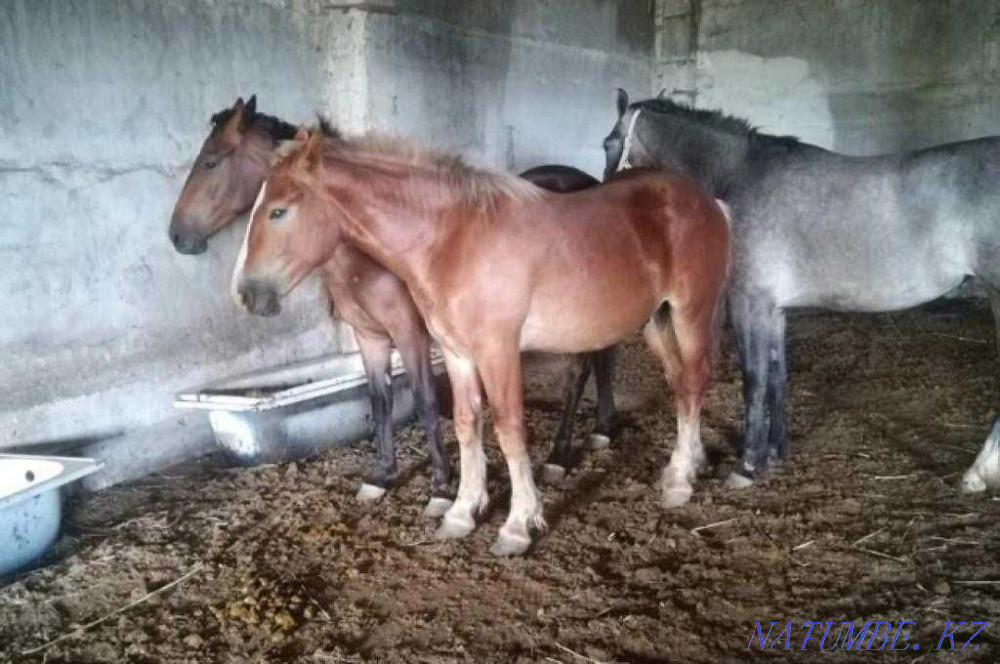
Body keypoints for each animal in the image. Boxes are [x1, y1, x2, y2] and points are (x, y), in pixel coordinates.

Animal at [168, 97, 616, 514]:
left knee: (580, 372)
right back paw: (603, 429)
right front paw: (381, 476)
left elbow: (424, 400)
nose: (177, 236)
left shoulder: (410, 333)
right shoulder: (370, 337)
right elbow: (379, 400)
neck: (366, 262)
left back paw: (560, 455)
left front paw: (441, 488)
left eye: (210, 162)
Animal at [232, 125, 730, 556]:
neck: (454, 239)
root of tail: (708, 201)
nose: (244, 293)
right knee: (681, 385)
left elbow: (509, 429)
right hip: (655, 321)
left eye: (279, 210)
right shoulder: (457, 353)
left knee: (694, 380)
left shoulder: (498, 351)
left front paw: (518, 525)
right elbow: (466, 424)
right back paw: (686, 465)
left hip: (690, 314)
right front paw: (461, 511)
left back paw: (680, 481)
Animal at [603, 90, 1000, 496]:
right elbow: (777, 375)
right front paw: (776, 451)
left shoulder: (750, 303)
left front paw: (747, 465)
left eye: (608, 143)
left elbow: (754, 379)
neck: (738, 177)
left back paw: (977, 473)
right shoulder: (773, 309)